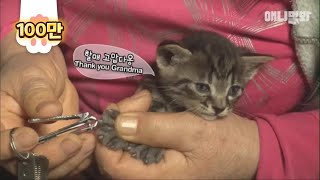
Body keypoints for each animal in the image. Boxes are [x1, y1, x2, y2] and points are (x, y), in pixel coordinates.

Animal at [97, 31, 272, 165]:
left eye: (234, 90)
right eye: (202, 87)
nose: (219, 108)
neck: (176, 104)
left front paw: (151, 147)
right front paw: (114, 129)